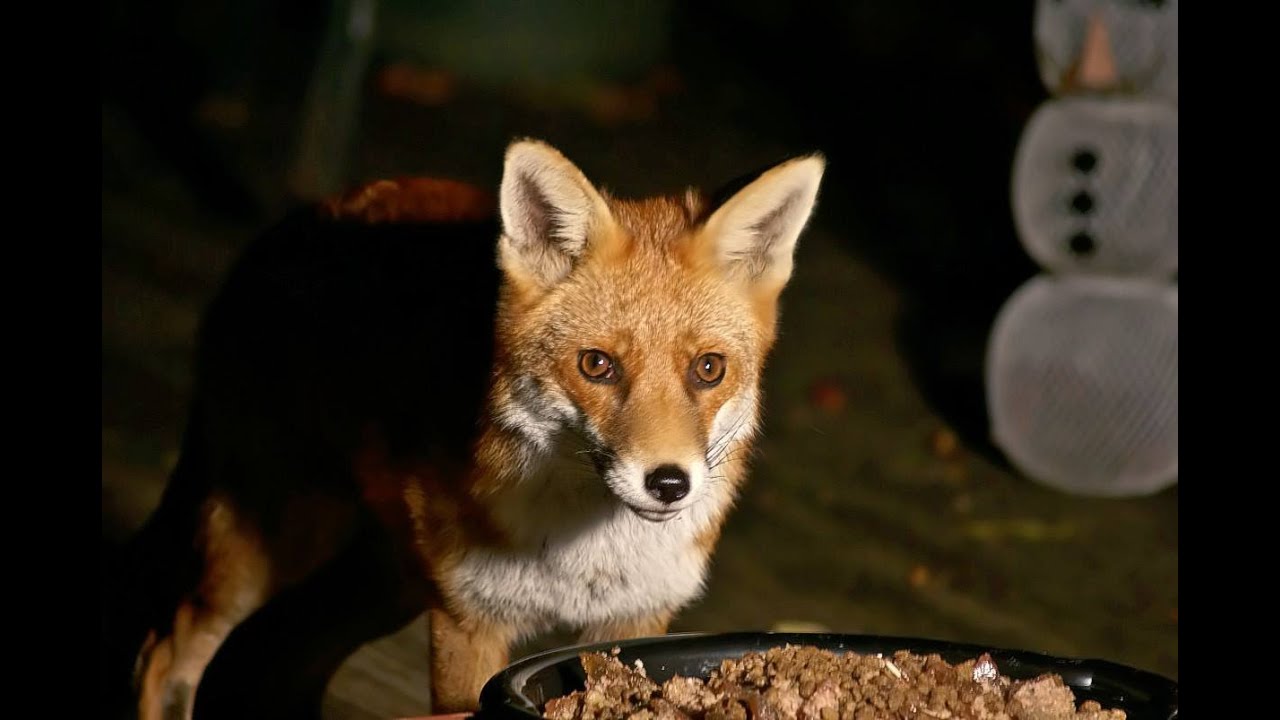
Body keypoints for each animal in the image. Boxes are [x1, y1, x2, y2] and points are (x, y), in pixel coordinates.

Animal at [114, 139, 825, 719]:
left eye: (709, 369)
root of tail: (305, 214)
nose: (670, 483)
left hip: (387, 583)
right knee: (164, 654)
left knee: (288, 655)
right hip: (270, 547)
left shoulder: (632, 619)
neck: (581, 556)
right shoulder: (469, 621)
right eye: (596, 365)